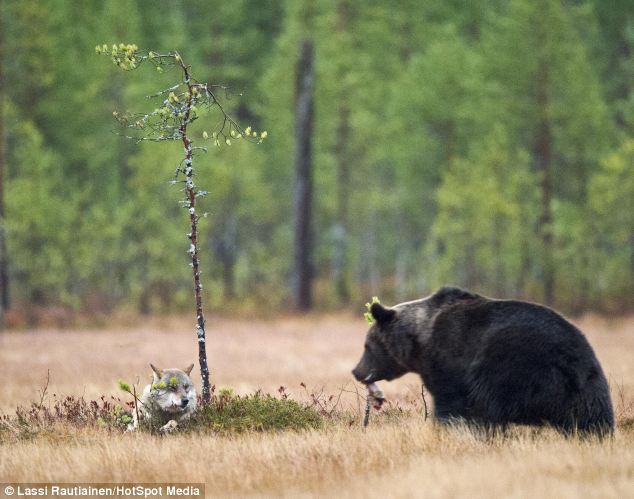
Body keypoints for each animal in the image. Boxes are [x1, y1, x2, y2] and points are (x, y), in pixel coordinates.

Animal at [350, 290, 612, 438]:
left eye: (367, 345)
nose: (357, 371)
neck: (420, 341)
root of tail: (569, 363)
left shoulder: (448, 360)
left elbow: (450, 404)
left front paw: (447, 429)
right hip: (589, 384)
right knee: (594, 418)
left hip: (510, 367)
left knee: (489, 404)